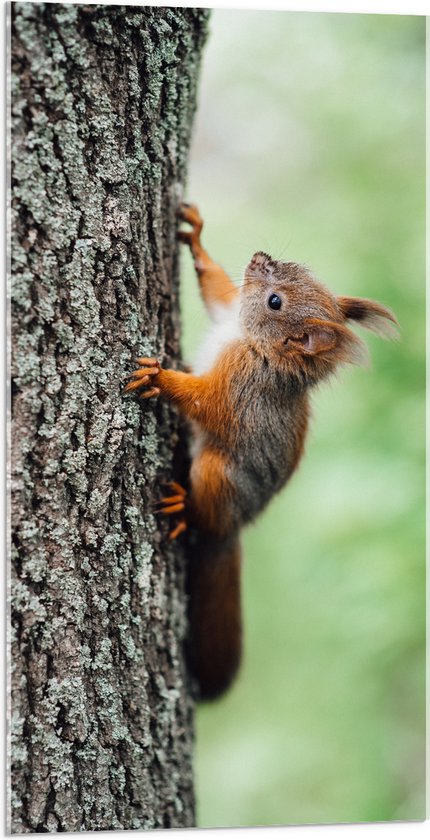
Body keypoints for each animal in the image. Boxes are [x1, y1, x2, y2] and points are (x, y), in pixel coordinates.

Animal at [126, 203, 398, 704]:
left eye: (275, 302)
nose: (258, 257)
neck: (251, 343)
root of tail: (234, 527)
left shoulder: (239, 390)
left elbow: (204, 403)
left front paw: (160, 379)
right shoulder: (226, 314)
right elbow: (220, 291)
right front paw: (197, 236)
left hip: (217, 473)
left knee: (204, 510)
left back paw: (185, 507)